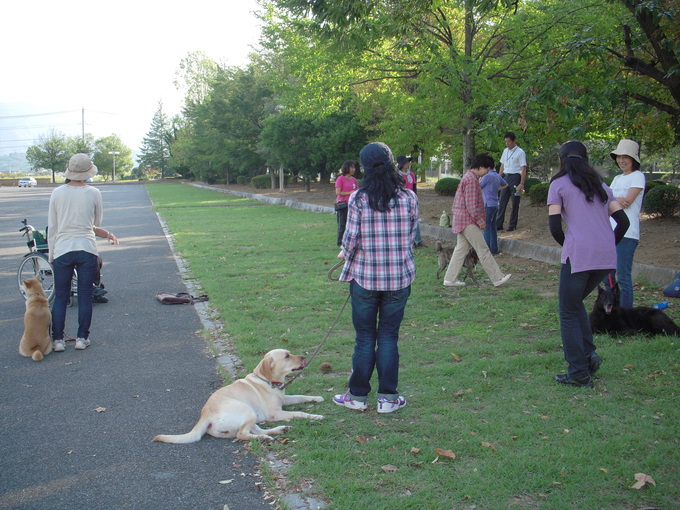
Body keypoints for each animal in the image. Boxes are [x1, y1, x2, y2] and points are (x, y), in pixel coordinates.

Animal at [154, 346, 324, 442]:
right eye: (287, 356)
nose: (304, 357)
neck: (268, 381)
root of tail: (205, 415)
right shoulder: (275, 413)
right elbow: (299, 413)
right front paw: (315, 416)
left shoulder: (284, 400)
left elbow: (301, 397)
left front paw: (317, 398)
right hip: (246, 410)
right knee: (242, 435)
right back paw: (264, 438)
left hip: (250, 415)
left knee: (252, 431)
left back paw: (277, 431)